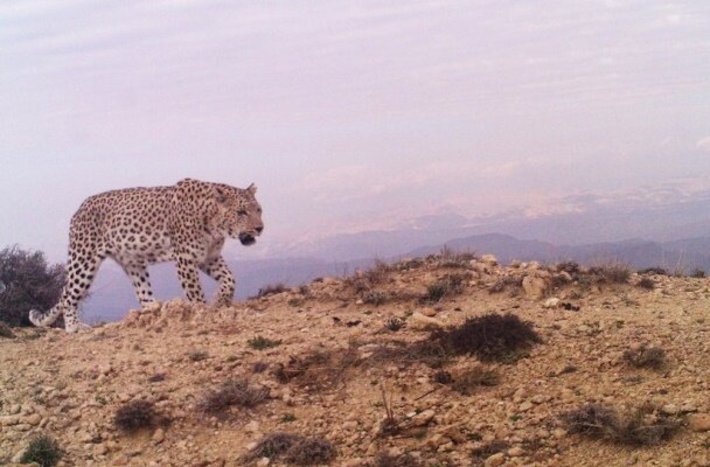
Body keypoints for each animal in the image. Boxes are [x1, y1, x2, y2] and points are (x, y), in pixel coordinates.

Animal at [28, 178, 264, 332]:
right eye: (241, 212)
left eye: (258, 210)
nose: (260, 228)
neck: (215, 225)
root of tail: (79, 208)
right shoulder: (186, 259)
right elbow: (195, 293)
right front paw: (202, 312)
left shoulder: (209, 257)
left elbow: (230, 279)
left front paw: (220, 301)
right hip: (83, 260)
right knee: (68, 295)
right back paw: (74, 328)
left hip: (133, 263)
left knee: (143, 294)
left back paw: (154, 311)